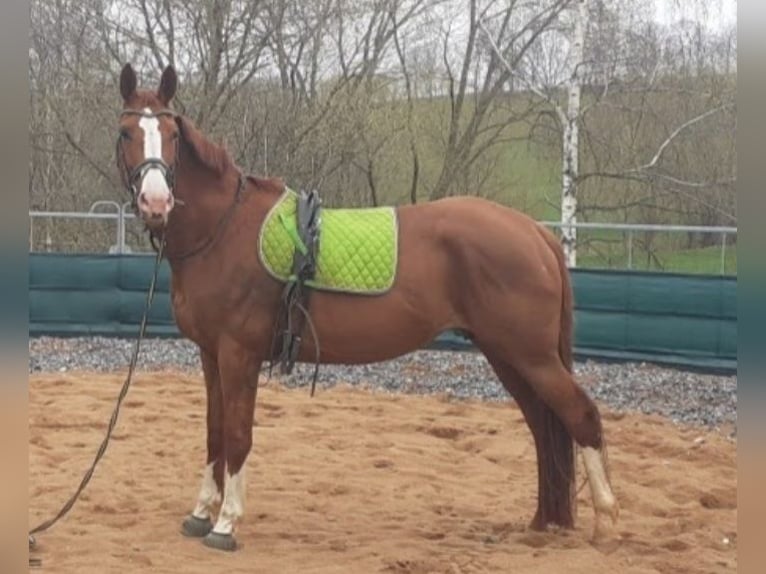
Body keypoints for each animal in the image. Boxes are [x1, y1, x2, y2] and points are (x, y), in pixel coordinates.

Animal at [115, 64, 616, 552]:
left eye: (171, 133)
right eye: (126, 133)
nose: (156, 202)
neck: (223, 229)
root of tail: (535, 232)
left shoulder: (239, 354)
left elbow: (238, 435)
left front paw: (226, 524)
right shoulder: (211, 353)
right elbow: (214, 431)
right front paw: (201, 513)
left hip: (531, 356)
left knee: (581, 417)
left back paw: (606, 523)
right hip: (508, 355)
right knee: (543, 427)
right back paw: (542, 523)